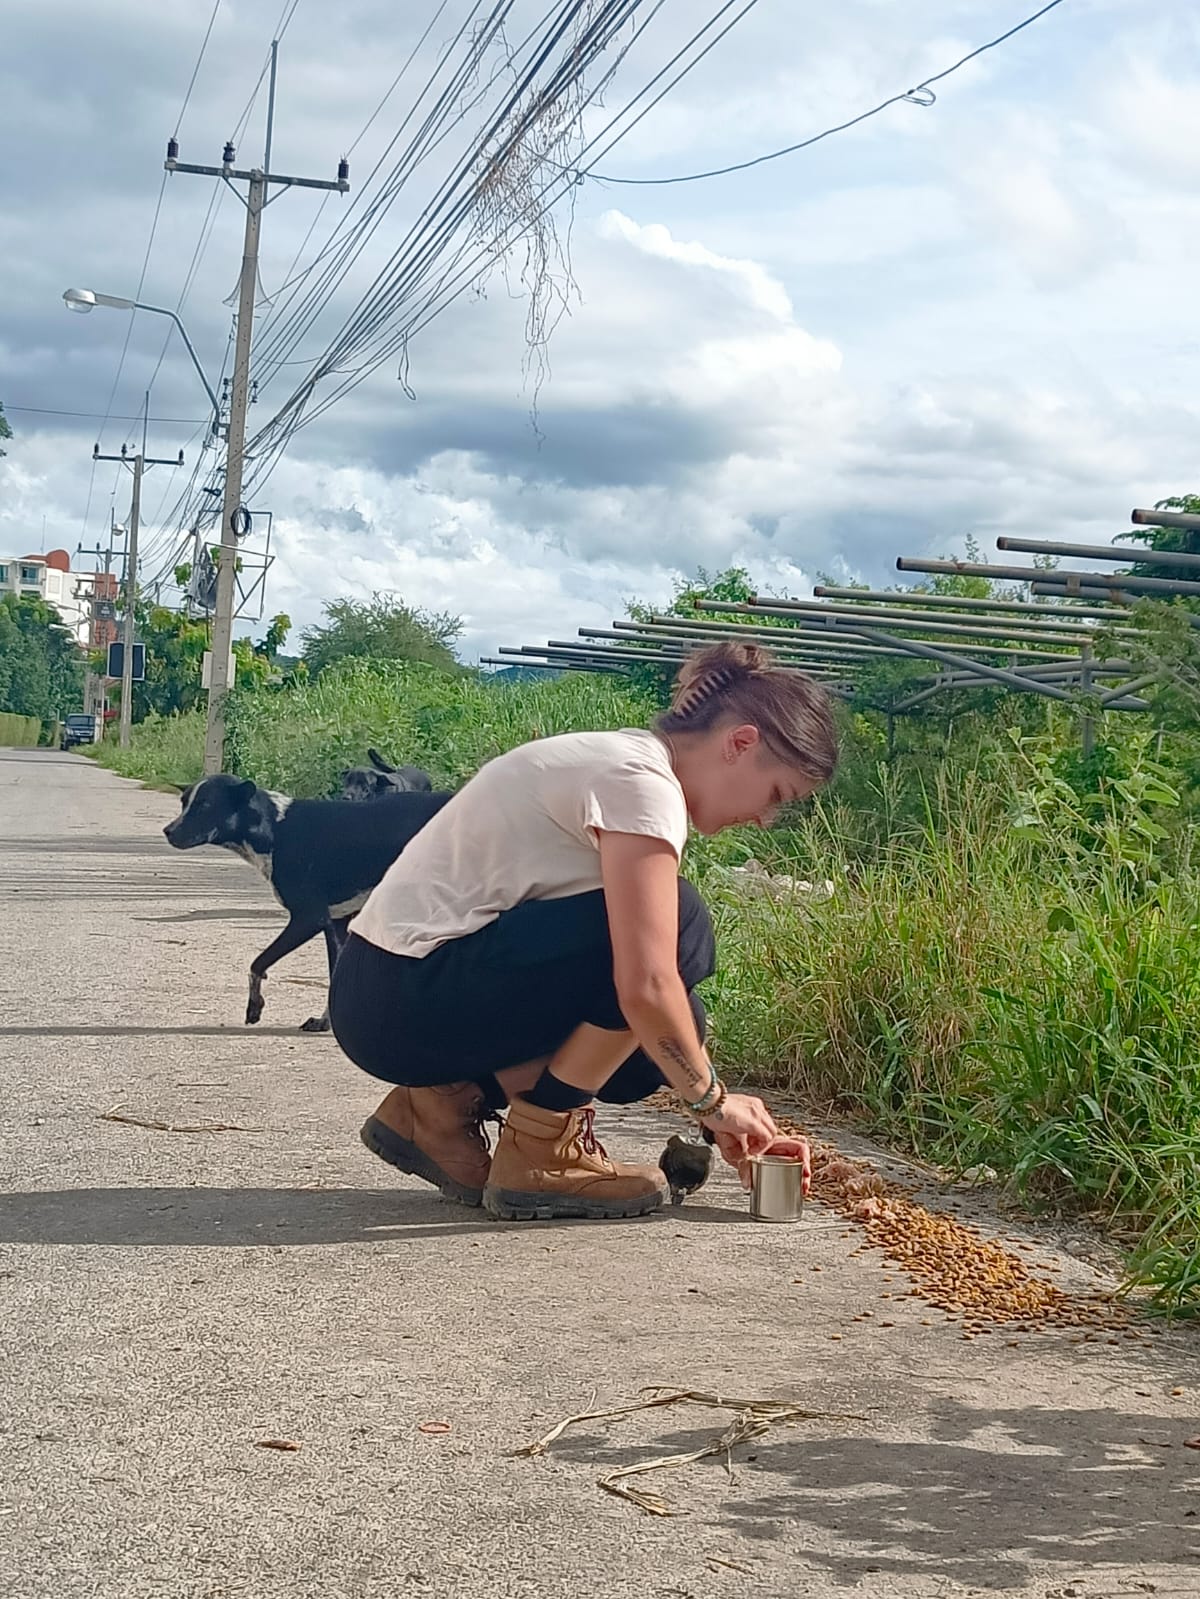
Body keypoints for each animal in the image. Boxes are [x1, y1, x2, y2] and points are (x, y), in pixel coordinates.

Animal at [164, 770, 451, 1023]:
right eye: (183, 803)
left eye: (205, 804)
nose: (168, 830)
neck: (275, 829)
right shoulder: (336, 924)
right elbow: (334, 977)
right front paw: (325, 1022)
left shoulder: (308, 919)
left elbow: (257, 964)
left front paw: (255, 1005)